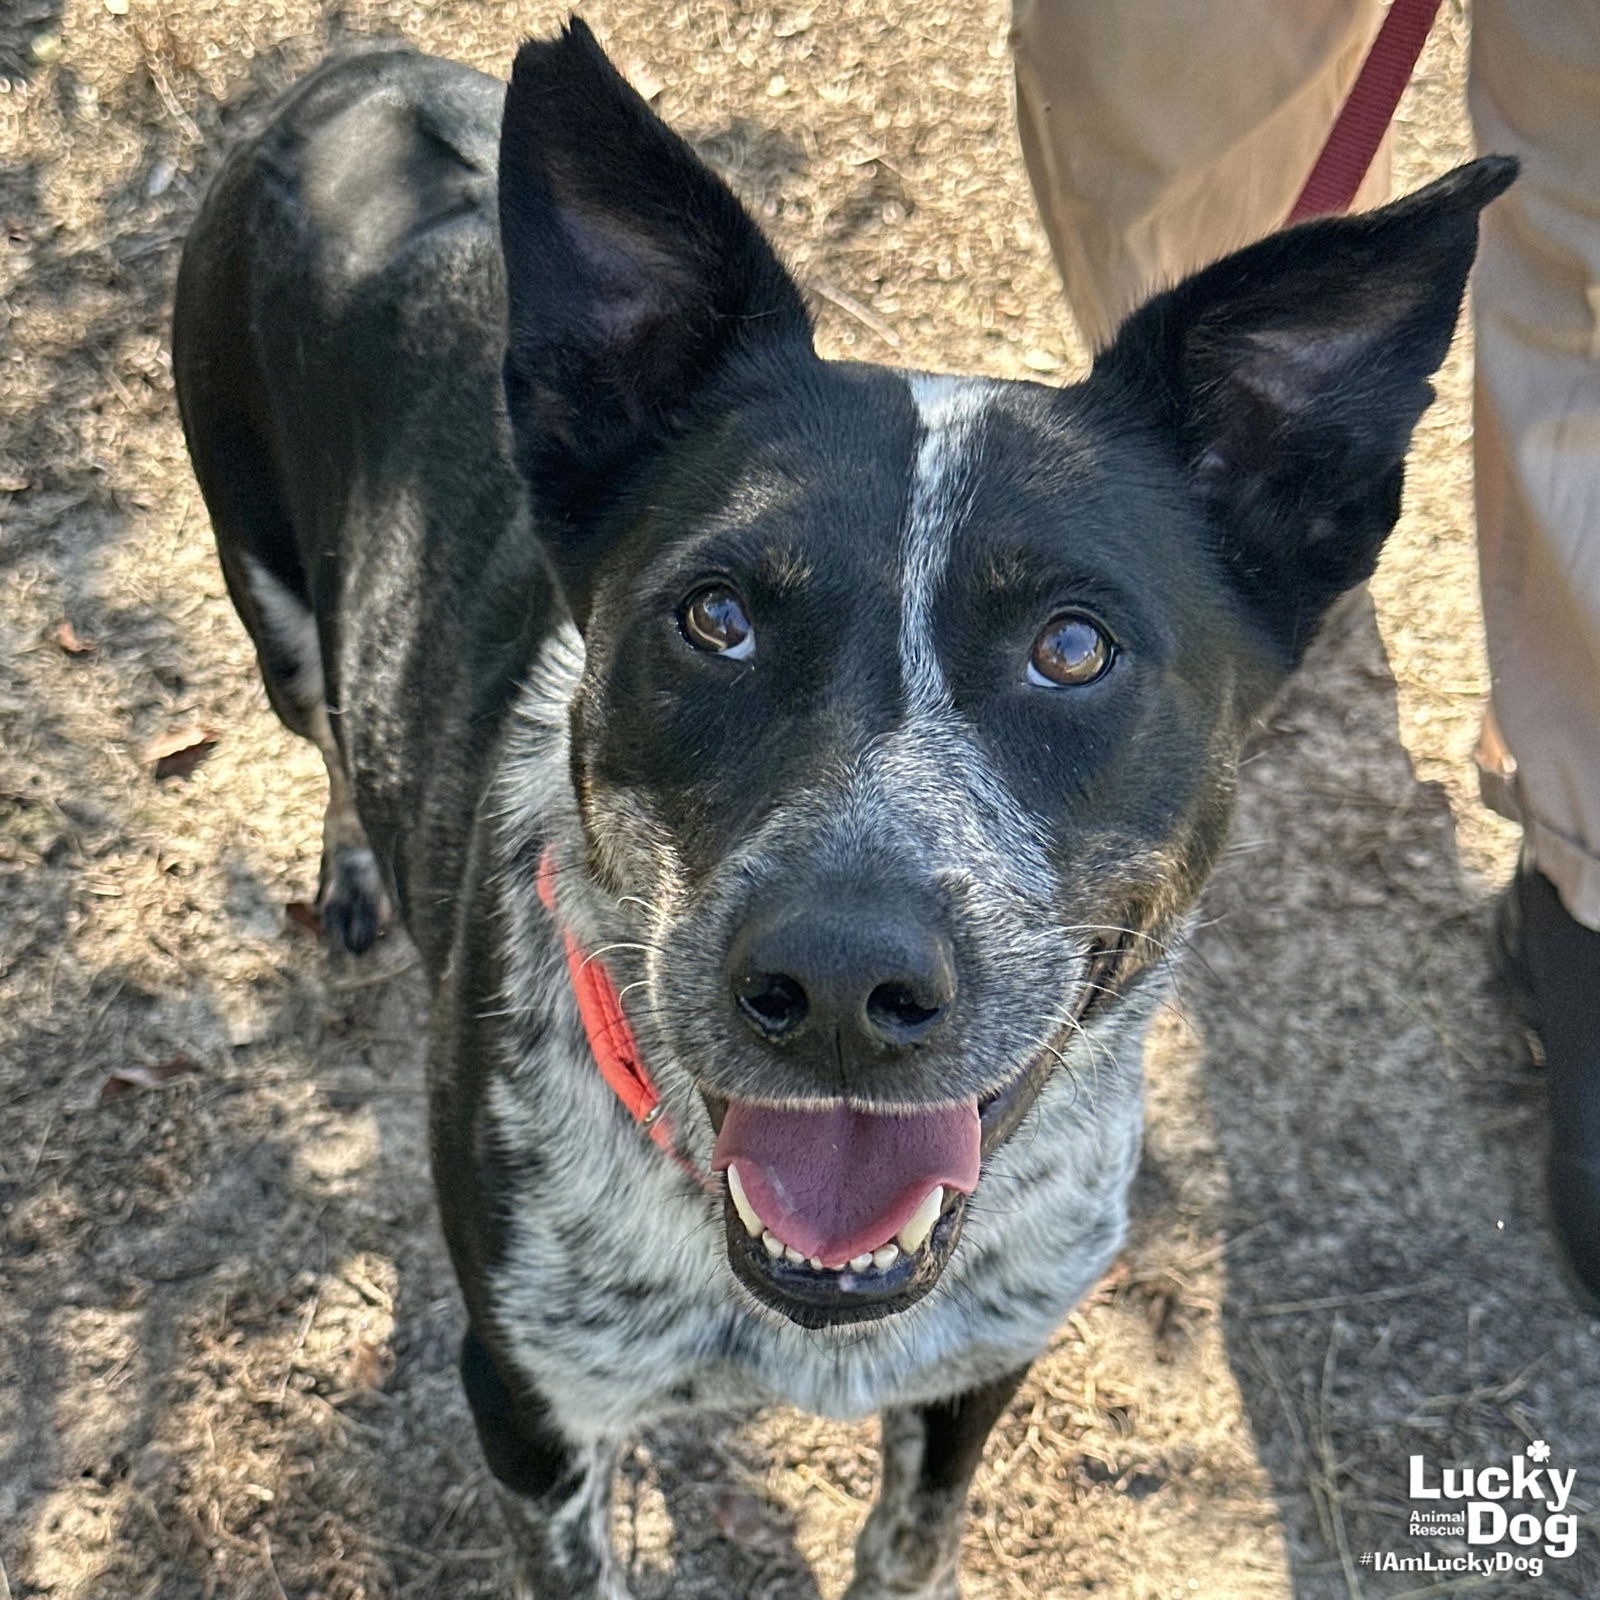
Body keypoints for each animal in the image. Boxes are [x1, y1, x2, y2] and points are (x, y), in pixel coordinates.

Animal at [172, 18, 1510, 1593]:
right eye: (716, 619)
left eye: (1074, 647)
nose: (835, 985)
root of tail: (358, 69)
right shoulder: (528, 1408)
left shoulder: (980, 1364)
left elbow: (912, 1535)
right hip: (269, 596)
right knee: (323, 719)